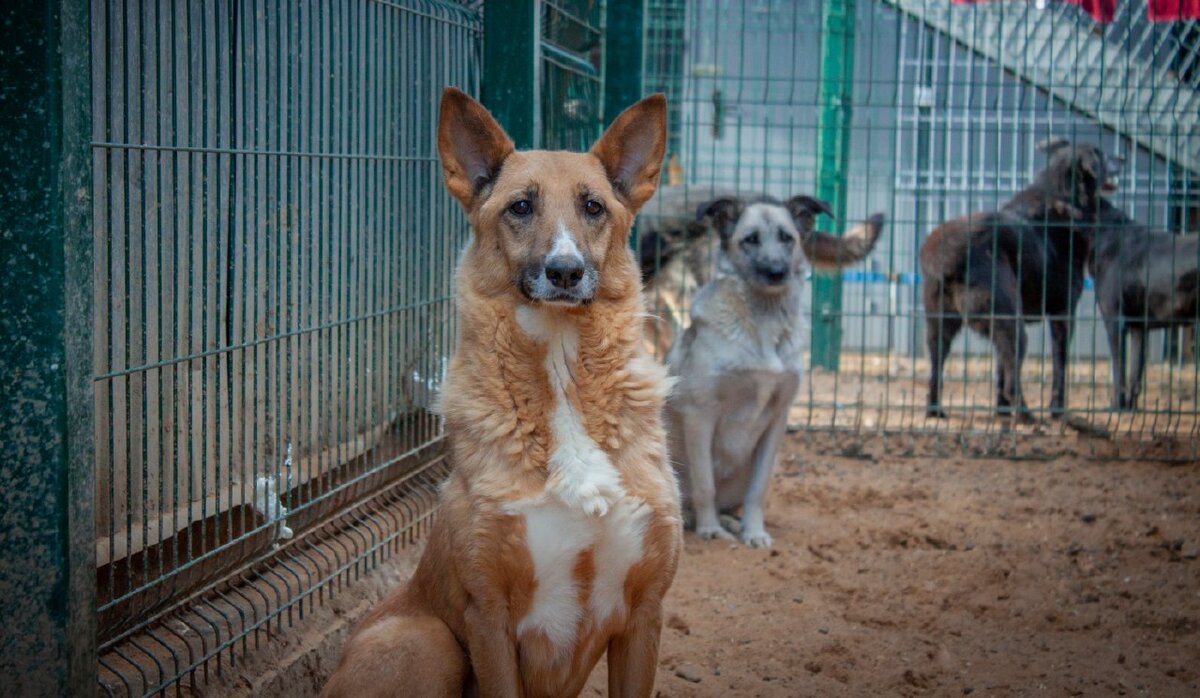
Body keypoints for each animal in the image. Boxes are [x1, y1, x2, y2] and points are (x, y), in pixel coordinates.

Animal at [321, 88, 686, 698]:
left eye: (594, 207)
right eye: (520, 207)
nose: (564, 271)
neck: (562, 374)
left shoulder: (645, 613)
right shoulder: (486, 616)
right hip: (428, 641)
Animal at [667, 195, 883, 546]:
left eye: (787, 238)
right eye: (750, 239)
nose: (776, 272)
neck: (763, 326)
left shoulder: (776, 421)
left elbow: (759, 488)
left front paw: (754, 532)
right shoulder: (701, 414)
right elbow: (705, 484)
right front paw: (709, 528)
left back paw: (730, 521)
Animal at [921, 142, 1118, 422]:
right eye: (1100, 154)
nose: (1122, 158)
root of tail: (947, 251)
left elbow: (1001, 371)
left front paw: (1002, 411)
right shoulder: (1062, 314)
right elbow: (1059, 369)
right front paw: (1056, 410)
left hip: (941, 327)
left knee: (936, 371)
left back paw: (935, 411)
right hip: (1012, 327)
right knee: (1014, 381)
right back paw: (1027, 416)